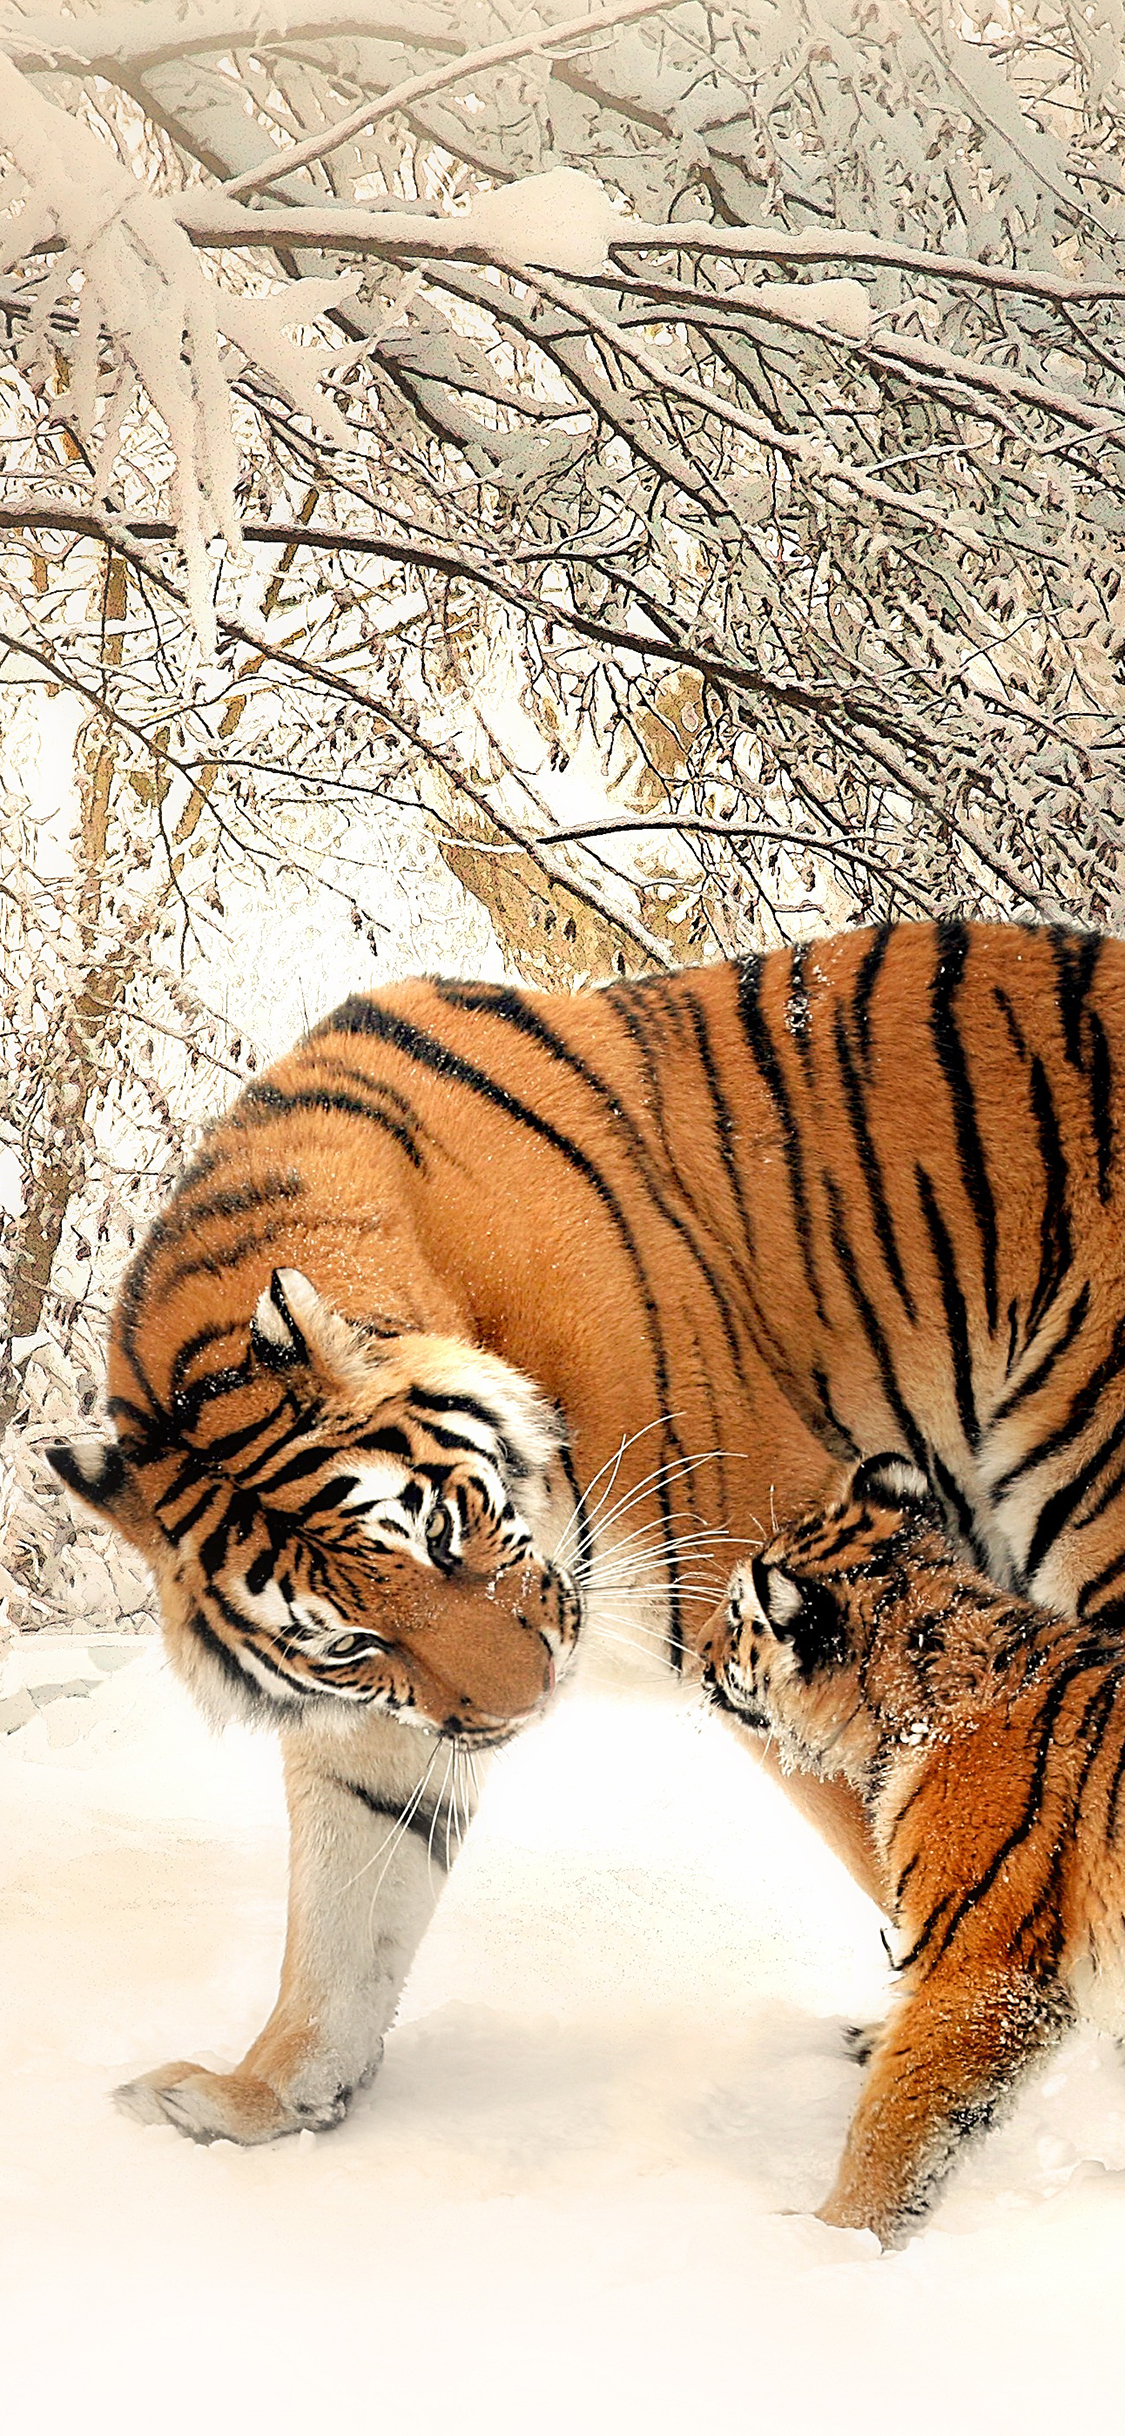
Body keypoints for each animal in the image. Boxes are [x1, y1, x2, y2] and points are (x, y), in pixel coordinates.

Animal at [45, 918, 1125, 2149]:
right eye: (354, 1644)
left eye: (445, 1534)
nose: (524, 1707)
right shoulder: (382, 1722)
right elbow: (342, 1912)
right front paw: (258, 2097)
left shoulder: (770, 1566)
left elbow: (924, 1848)